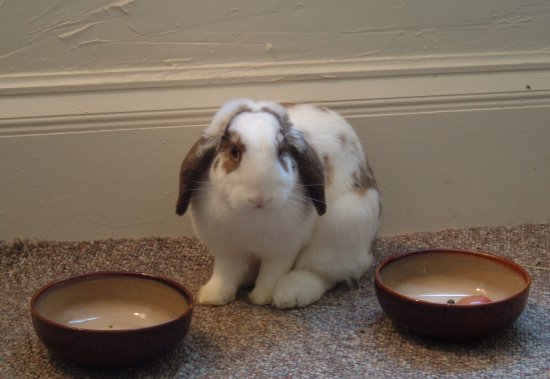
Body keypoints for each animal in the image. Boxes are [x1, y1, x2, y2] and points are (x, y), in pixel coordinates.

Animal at [175, 98, 382, 308]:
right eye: (234, 152)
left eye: (282, 151)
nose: (260, 198)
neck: (253, 218)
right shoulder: (228, 249)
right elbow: (226, 273)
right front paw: (212, 297)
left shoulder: (282, 249)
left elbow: (271, 273)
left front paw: (261, 298)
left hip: (342, 229)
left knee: (325, 272)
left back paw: (291, 294)